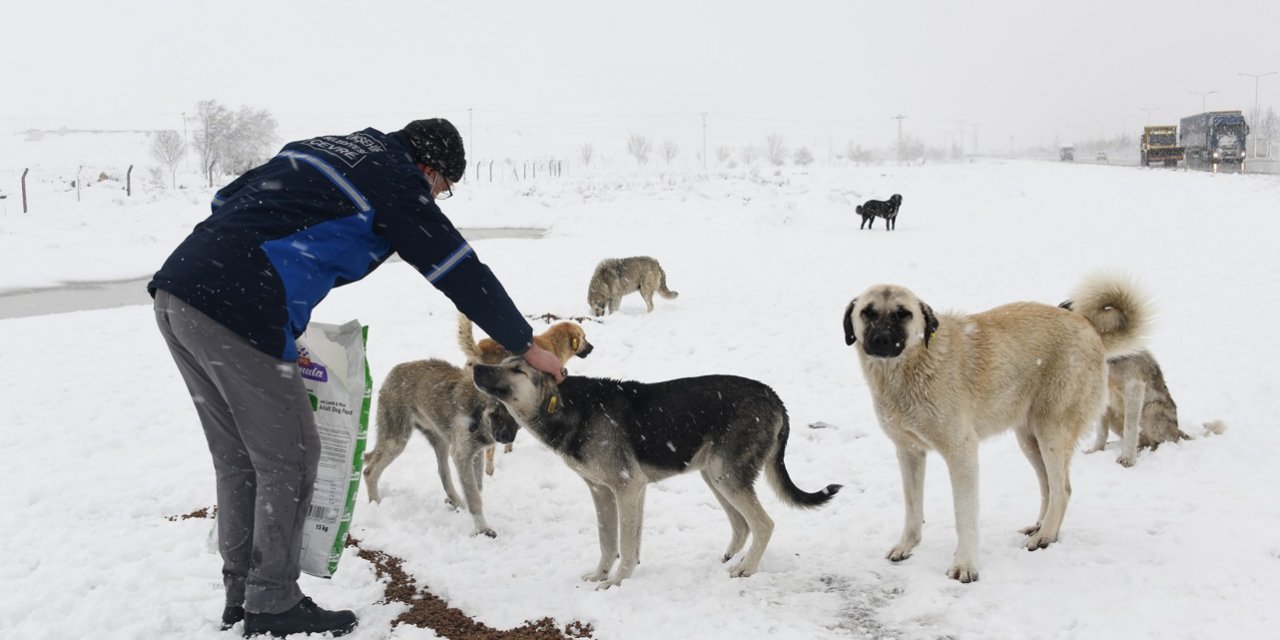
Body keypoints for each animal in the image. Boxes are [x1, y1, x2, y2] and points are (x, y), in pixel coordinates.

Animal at [360, 360, 514, 535]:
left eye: (514, 415)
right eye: (496, 414)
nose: (506, 436)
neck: (478, 411)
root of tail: (394, 370)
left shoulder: (476, 454)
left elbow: (477, 487)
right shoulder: (462, 455)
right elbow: (474, 496)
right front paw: (482, 529)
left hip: (441, 442)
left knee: (443, 472)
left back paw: (456, 501)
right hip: (396, 442)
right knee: (369, 472)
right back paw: (376, 504)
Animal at [471, 358, 839, 586]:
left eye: (517, 370)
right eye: (504, 363)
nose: (475, 367)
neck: (570, 408)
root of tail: (775, 398)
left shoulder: (627, 487)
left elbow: (625, 543)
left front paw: (617, 582)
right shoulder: (603, 491)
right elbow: (610, 542)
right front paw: (602, 576)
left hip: (726, 474)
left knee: (764, 524)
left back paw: (746, 568)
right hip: (714, 474)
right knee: (742, 524)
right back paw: (732, 557)